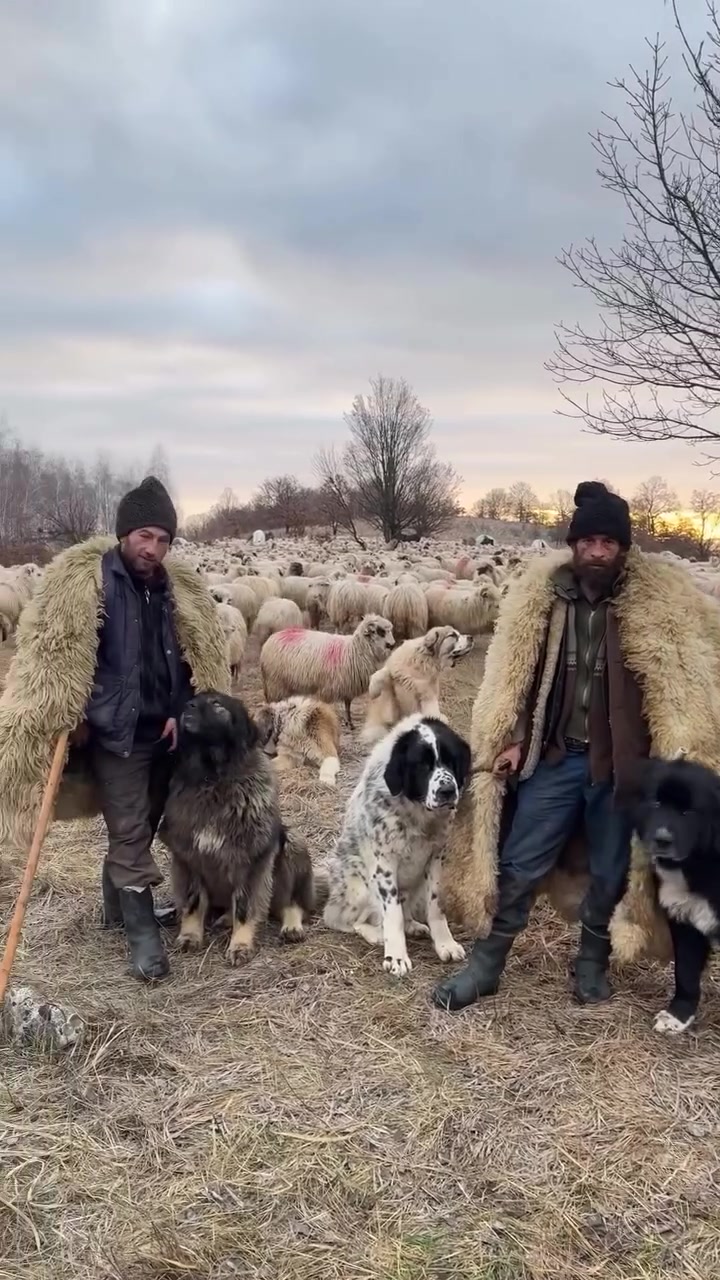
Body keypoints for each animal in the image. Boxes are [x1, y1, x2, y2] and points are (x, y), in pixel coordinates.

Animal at [320, 716, 468, 972]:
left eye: (451, 760)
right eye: (422, 765)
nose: (448, 791)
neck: (417, 812)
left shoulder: (437, 858)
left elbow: (435, 906)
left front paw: (445, 944)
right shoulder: (384, 865)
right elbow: (392, 915)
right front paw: (397, 956)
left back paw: (413, 925)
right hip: (359, 885)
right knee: (343, 920)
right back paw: (375, 934)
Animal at [625, 752, 717, 1034]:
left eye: (688, 812)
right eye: (656, 803)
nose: (662, 840)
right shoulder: (687, 923)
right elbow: (685, 974)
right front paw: (678, 1015)